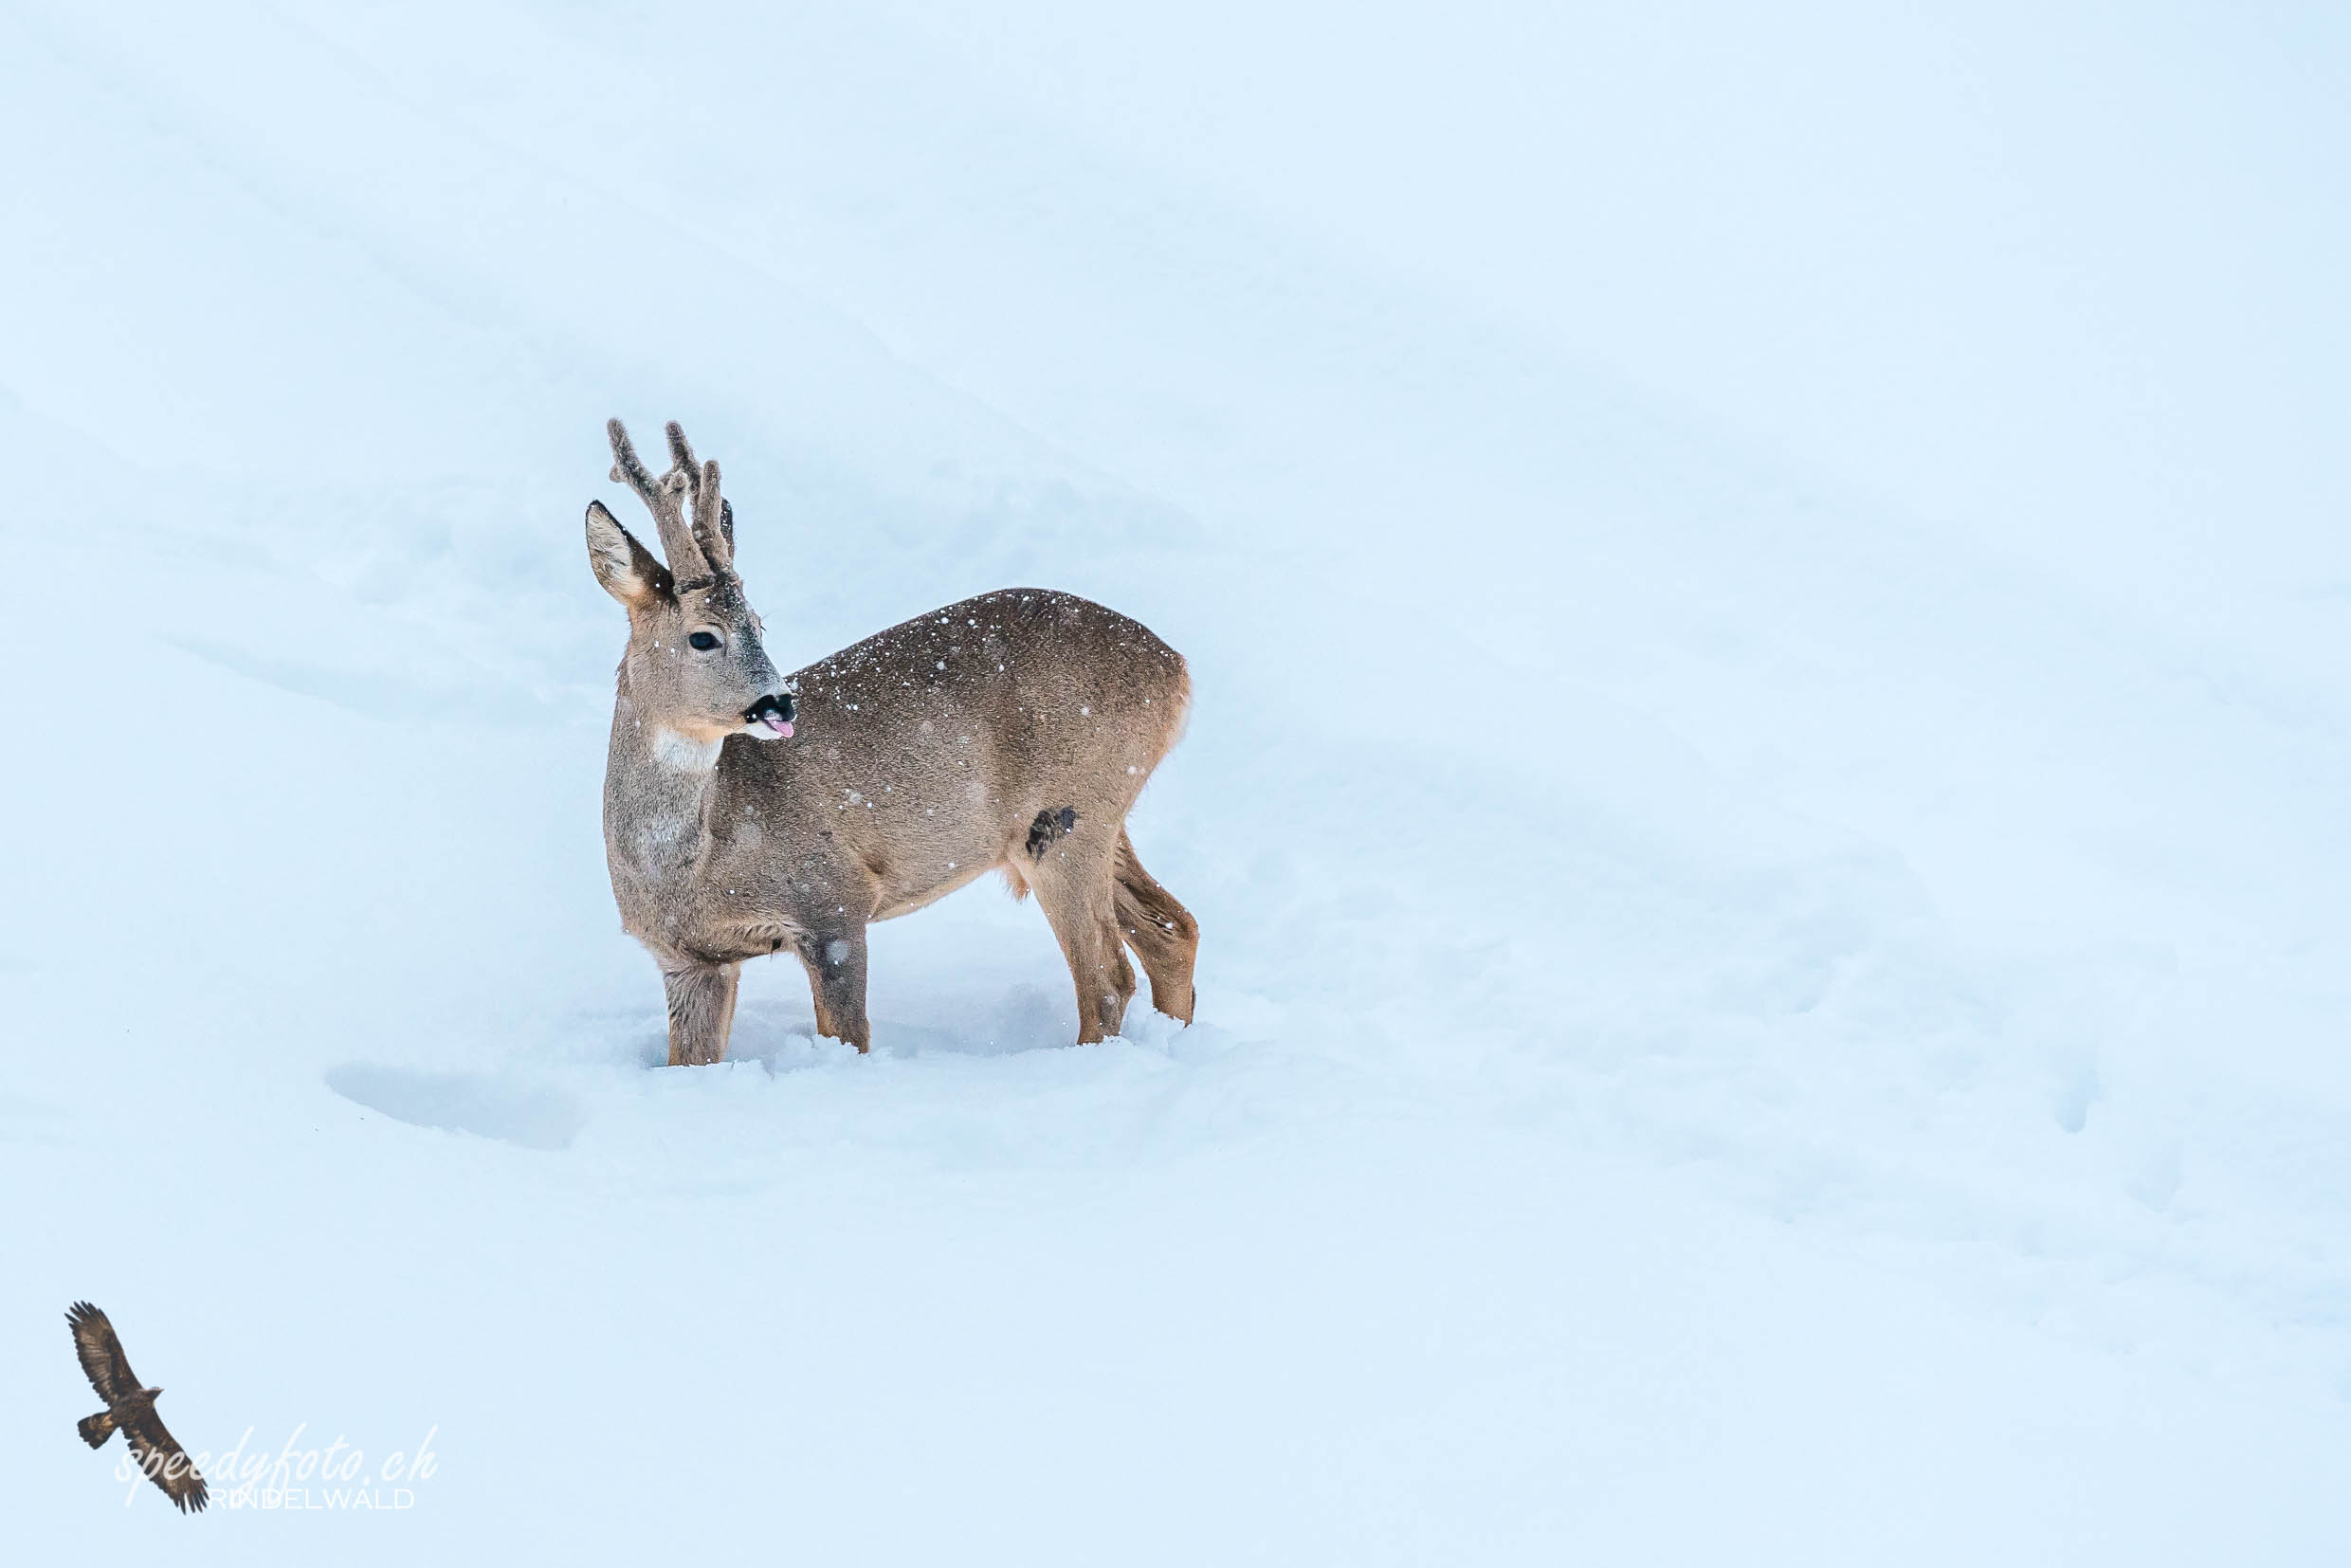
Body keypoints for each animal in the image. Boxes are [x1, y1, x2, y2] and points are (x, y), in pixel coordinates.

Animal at [580, 413, 1203, 1067]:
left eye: (759, 625)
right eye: (704, 636)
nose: (780, 701)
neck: (693, 862)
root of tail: (1176, 669)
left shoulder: (833, 900)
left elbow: (847, 1034)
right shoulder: (688, 960)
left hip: (1066, 817)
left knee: (1107, 976)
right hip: (1093, 820)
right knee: (1172, 930)